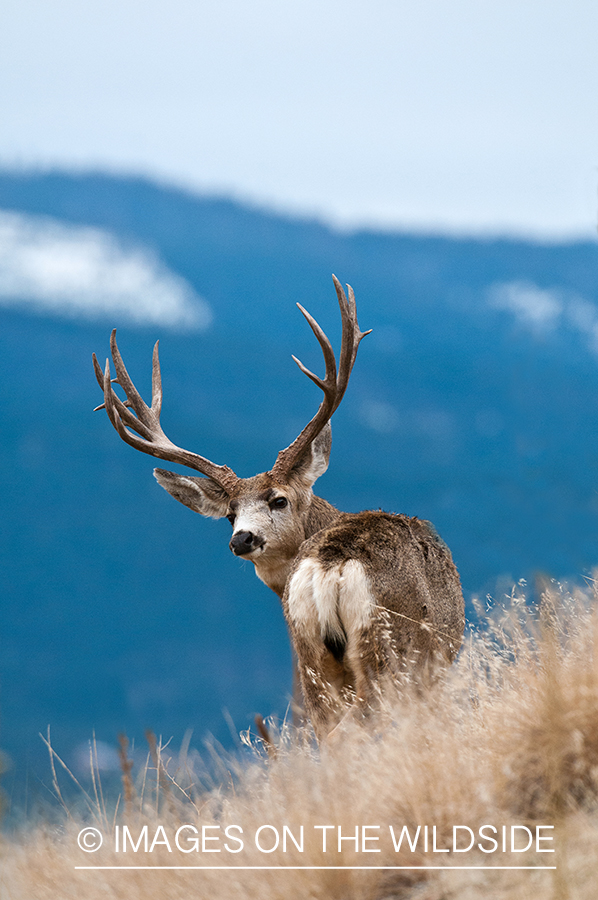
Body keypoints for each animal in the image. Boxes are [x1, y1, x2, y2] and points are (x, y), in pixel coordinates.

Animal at [93, 276, 465, 742]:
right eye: (230, 513)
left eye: (278, 499)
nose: (241, 538)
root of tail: (330, 564)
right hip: (388, 651)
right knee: (360, 723)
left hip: (310, 659)